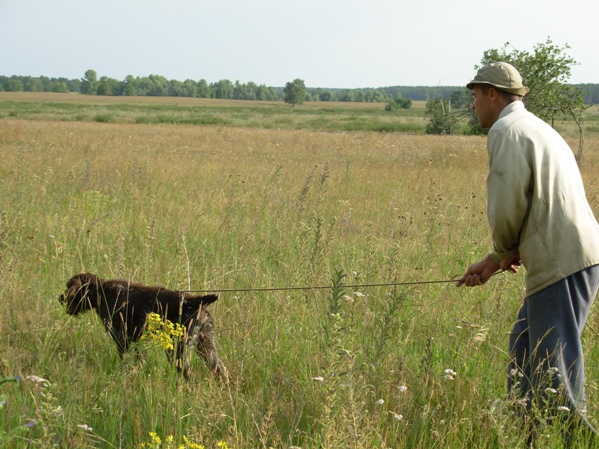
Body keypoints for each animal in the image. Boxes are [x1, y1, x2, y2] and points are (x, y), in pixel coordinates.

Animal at [59, 272, 227, 380]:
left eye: (68, 287)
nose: (61, 298)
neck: (102, 293)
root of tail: (195, 302)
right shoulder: (136, 343)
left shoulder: (122, 340)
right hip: (206, 348)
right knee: (220, 372)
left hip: (177, 350)